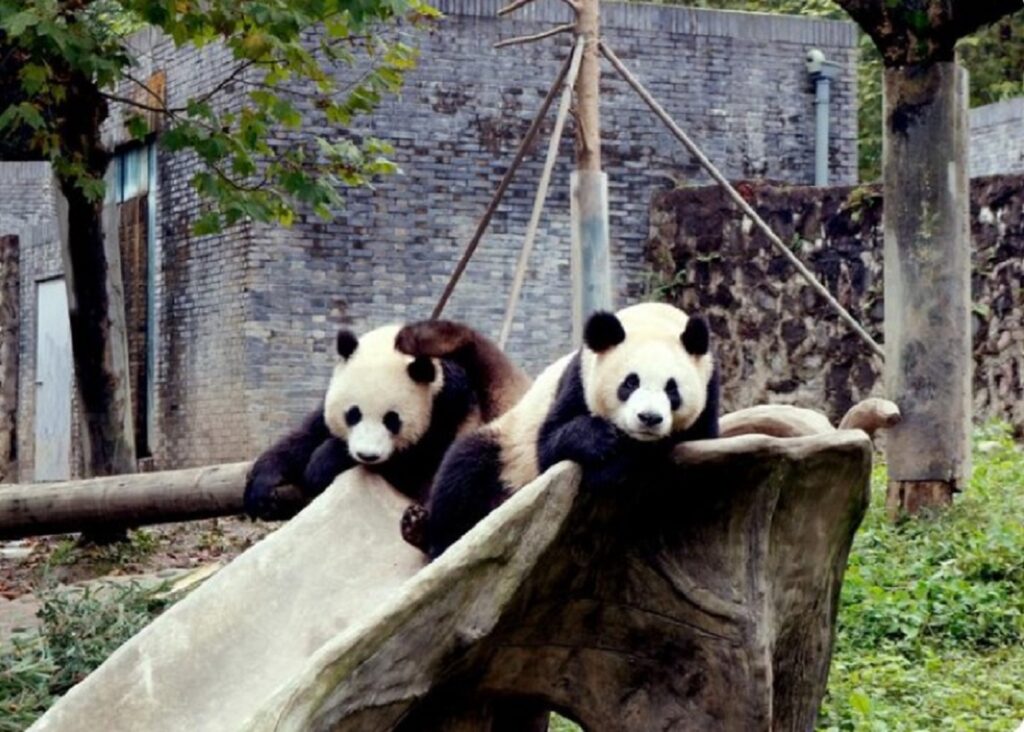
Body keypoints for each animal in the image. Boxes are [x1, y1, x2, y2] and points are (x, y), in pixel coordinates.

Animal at [243, 320, 530, 520]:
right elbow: (304, 436)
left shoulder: (447, 411)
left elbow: (411, 465)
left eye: (392, 420)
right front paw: (261, 489)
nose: (367, 456)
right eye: (353, 414)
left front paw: (321, 464)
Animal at [406, 302, 719, 559]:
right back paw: (432, 537)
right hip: (508, 449)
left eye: (672, 389)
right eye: (630, 383)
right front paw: (599, 441)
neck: (654, 317)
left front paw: (620, 461)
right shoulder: (577, 379)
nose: (649, 418)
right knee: (463, 472)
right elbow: (549, 447)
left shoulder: (709, 392)